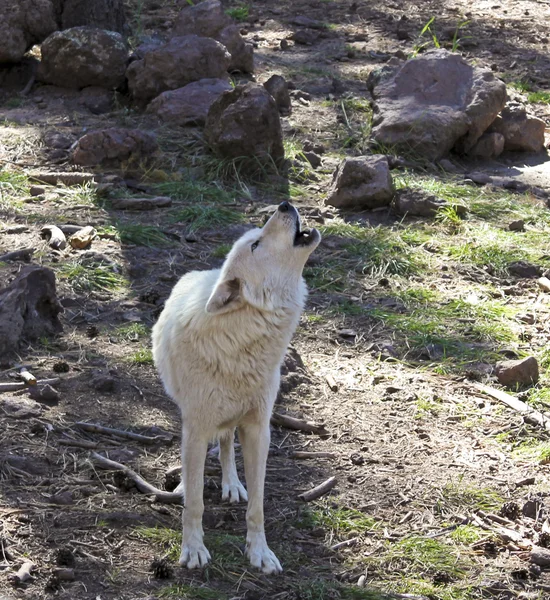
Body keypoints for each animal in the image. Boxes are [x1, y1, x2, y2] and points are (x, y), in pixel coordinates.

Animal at [153, 200, 322, 572]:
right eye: (256, 245)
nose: (285, 204)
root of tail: (203, 272)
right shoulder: (196, 429)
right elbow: (195, 503)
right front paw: (193, 549)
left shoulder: (259, 430)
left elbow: (257, 505)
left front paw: (260, 552)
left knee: (227, 441)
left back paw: (231, 484)